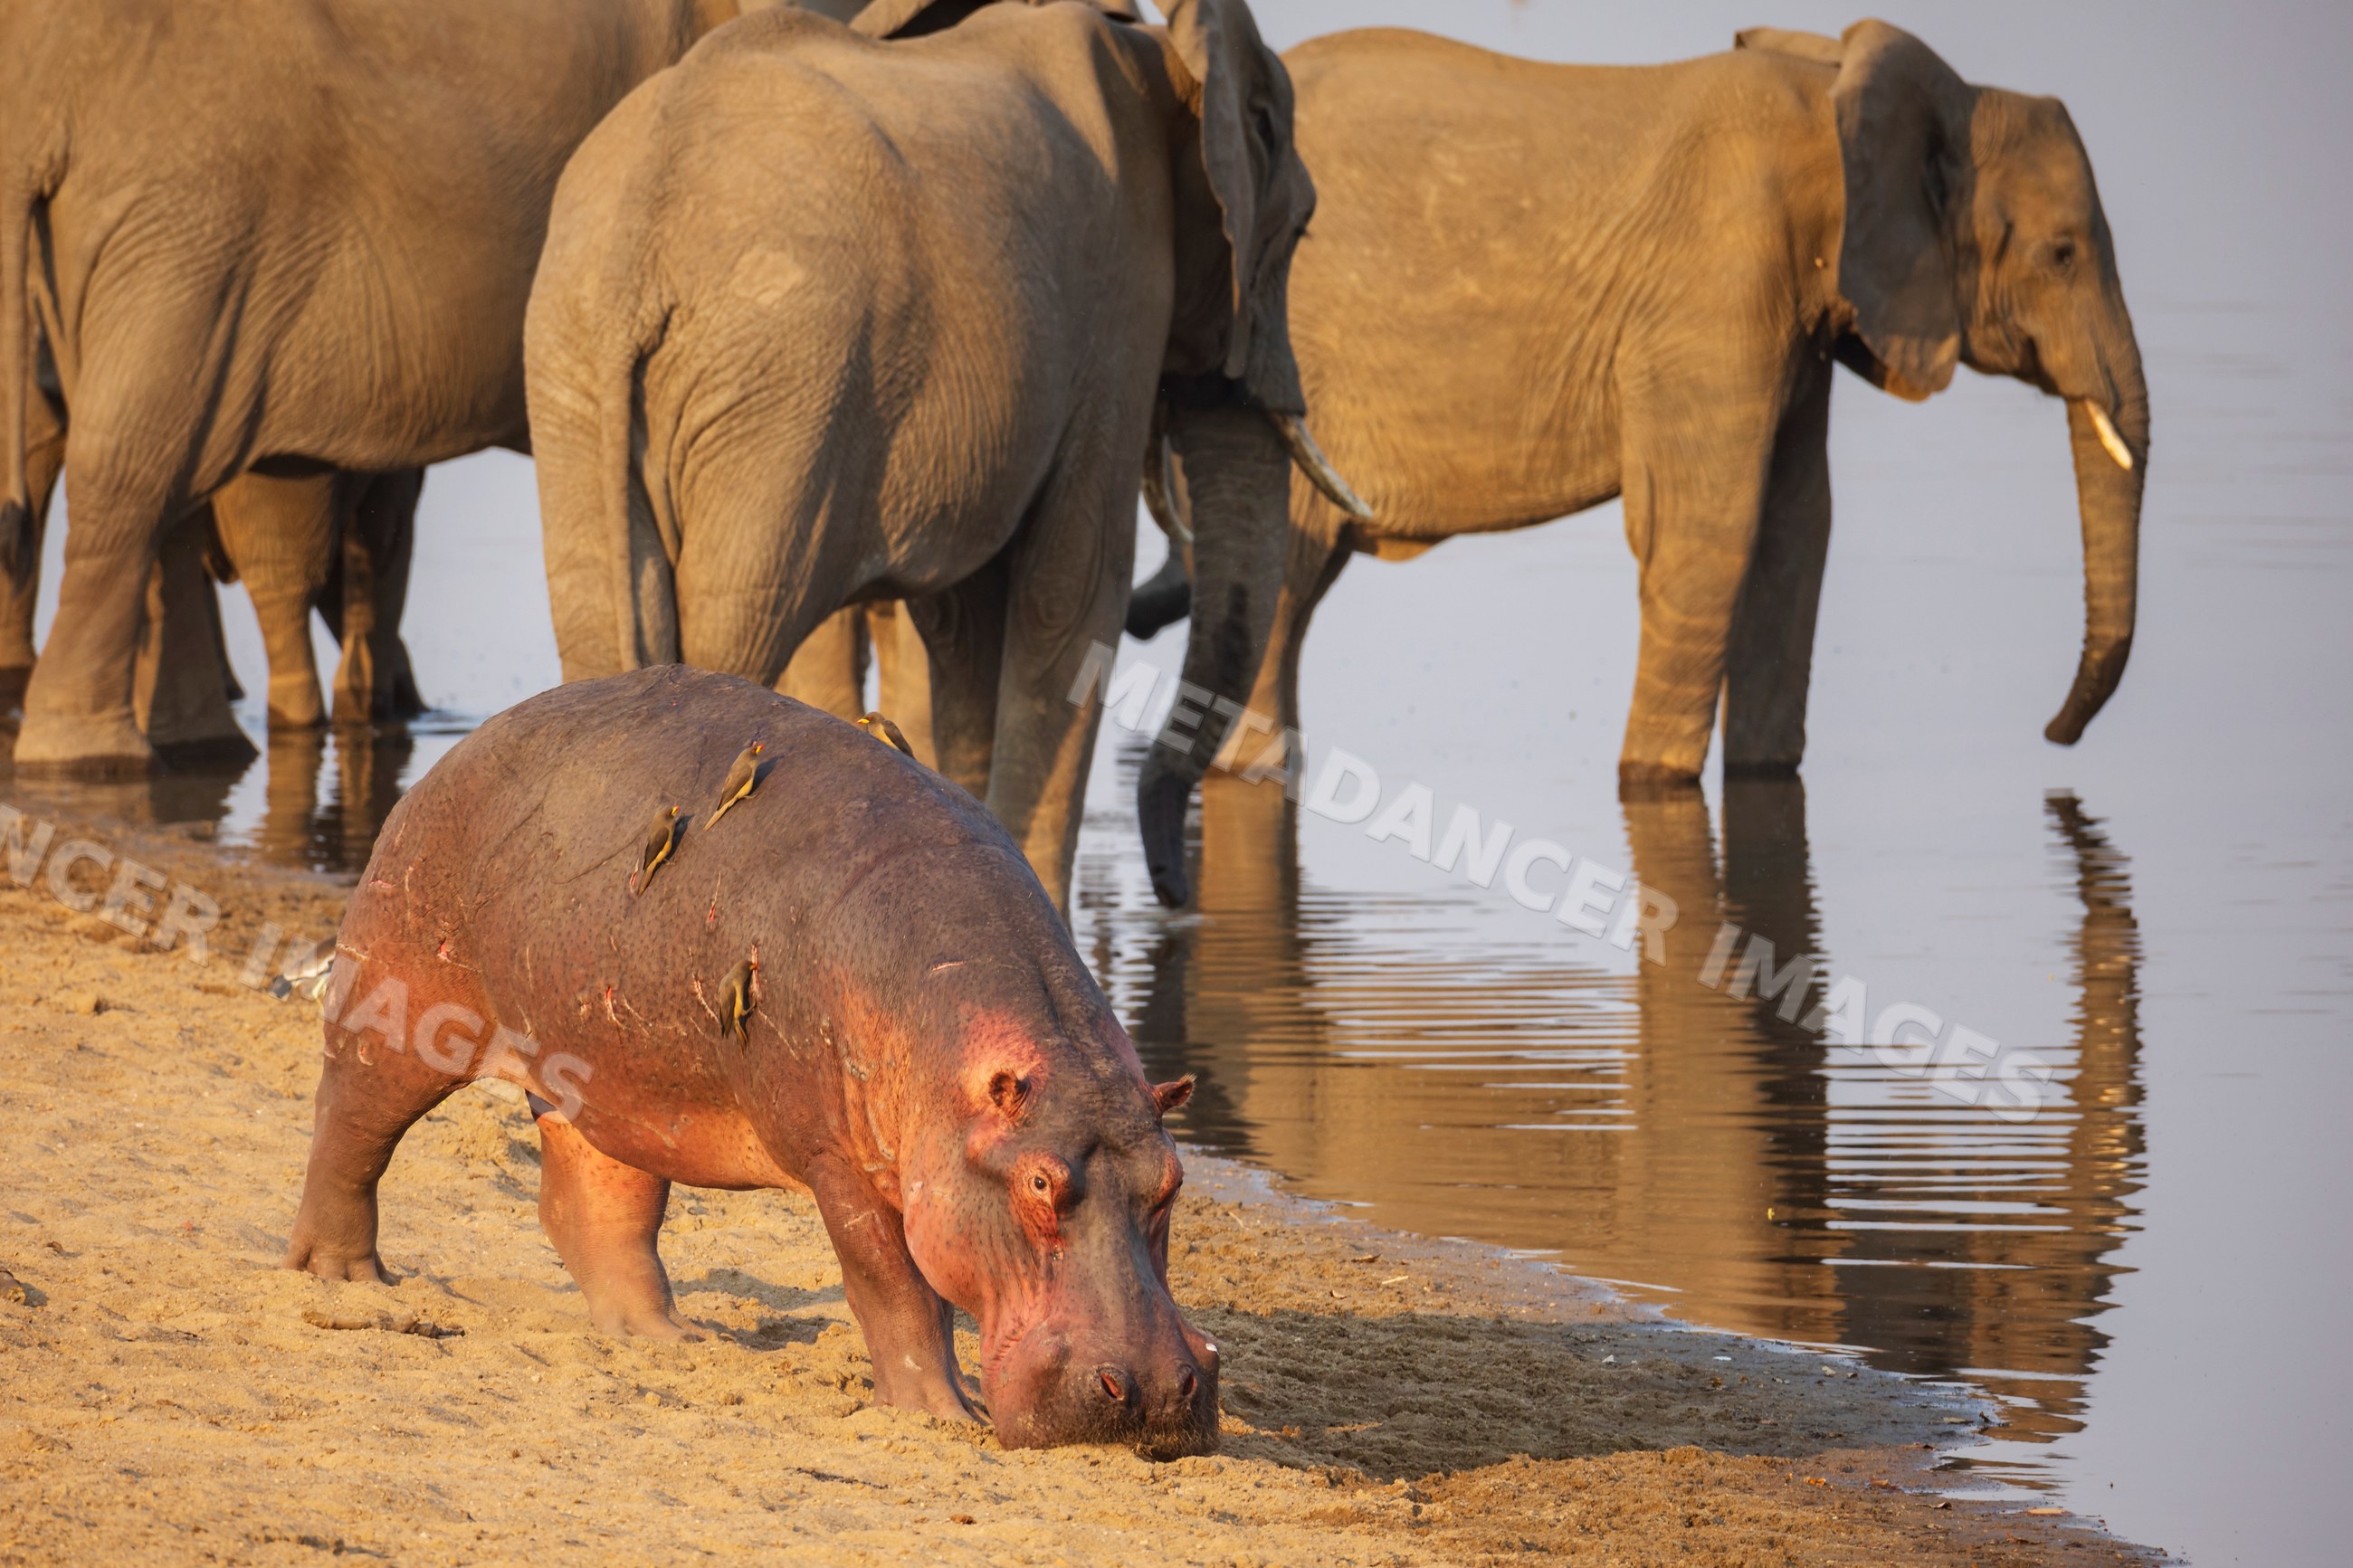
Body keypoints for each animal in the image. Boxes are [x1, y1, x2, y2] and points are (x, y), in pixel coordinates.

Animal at [0, 0, 765, 776]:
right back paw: (96, 758)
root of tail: (40, 102)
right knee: (132, 472)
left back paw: (198, 744)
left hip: (172, 239)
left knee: (146, 478)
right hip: (189, 226)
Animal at [284, 667, 1218, 1455]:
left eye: (1174, 1181)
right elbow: (895, 1286)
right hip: (399, 1002)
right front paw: (942, 1415)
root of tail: (462, 749)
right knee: (349, 1132)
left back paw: (668, 1336)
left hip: (612, 1079)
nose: (1153, 1391)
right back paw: (346, 1278)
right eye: (1039, 1182)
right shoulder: (837, 1159)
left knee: (595, 1205)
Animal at [526, 0, 1366, 912]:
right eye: (1300, 228)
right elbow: (1072, 597)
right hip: (781, 388)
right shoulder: (1120, 304)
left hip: (577, 380)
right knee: (737, 624)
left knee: (603, 634)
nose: (1176, 899)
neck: (1162, 49)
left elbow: (968, 628)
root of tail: (633, 249)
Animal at [1126, 21, 2148, 789]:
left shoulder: (1795, 316)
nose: (2052, 737)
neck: (1832, 90)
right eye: (2061, 254)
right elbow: (1709, 530)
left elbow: (1795, 531)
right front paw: (1650, 786)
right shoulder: (1719, 285)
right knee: (1284, 577)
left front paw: (1761, 777)